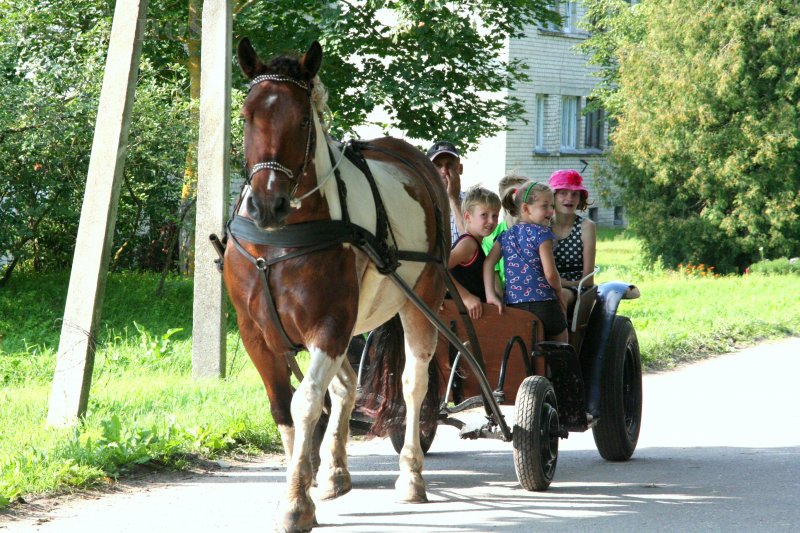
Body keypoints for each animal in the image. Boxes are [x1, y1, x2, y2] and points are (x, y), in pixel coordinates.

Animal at [222, 39, 450, 528]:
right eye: (247, 115)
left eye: (302, 120)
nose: (267, 203)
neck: (278, 241)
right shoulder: (255, 333)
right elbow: (282, 406)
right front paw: (303, 479)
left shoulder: (328, 325)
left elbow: (306, 402)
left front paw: (294, 502)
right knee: (346, 387)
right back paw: (333, 472)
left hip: (420, 300)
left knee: (413, 384)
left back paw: (411, 475)